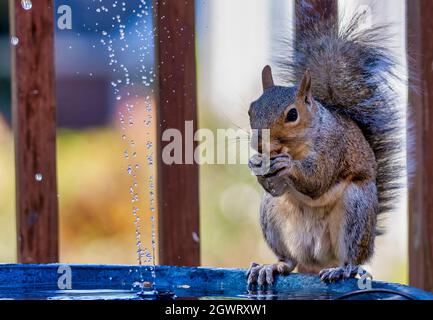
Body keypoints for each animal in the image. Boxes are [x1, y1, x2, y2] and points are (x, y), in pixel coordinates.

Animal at [246, 10, 404, 284]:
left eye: (292, 114)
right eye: (251, 109)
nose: (259, 143)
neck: (296, 146)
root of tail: (318, 259)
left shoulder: (334, 147)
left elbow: (318, 180)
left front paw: (287, 165)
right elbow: (275, 187)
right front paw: (255, 164)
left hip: (356, 211)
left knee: (351, 258)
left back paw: (341, 269)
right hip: (272, 215)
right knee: (289, 260)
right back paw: (271, 267)